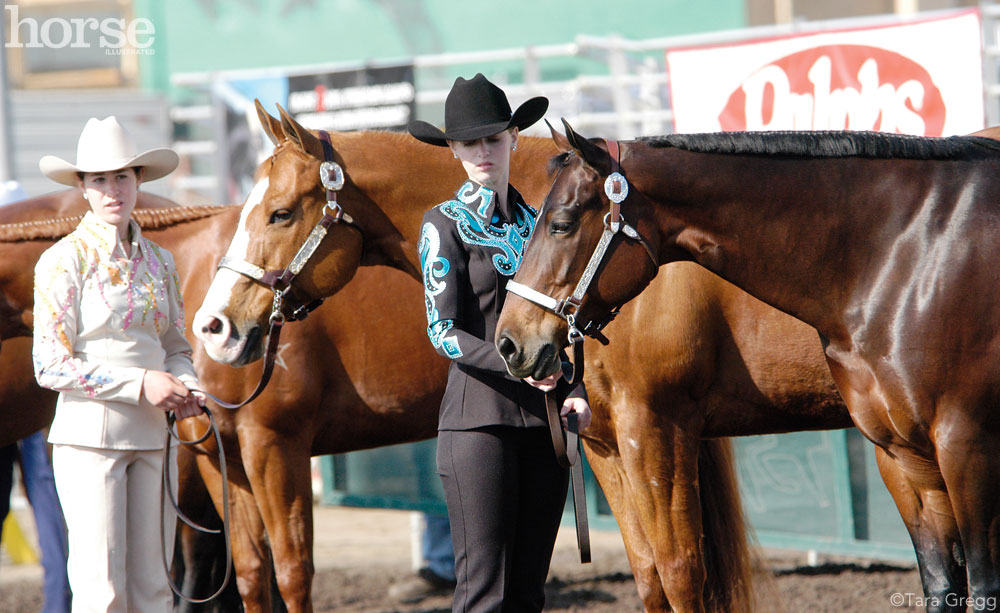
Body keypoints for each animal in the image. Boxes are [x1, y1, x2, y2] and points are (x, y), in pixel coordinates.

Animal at [193, 104, 852, 612]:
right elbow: (650, 576)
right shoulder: (607, 441)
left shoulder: (657, 431)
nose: (215, 326)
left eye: (279, 212)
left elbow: (681, 572)